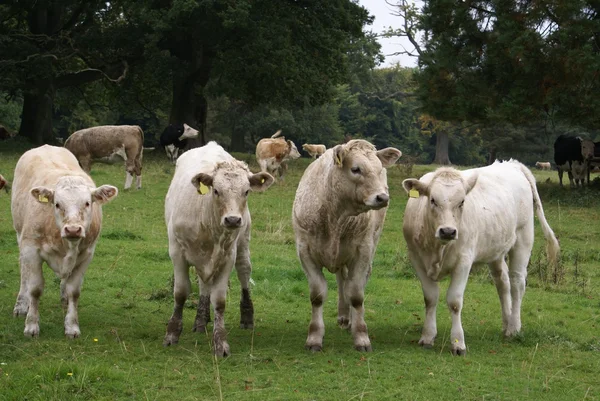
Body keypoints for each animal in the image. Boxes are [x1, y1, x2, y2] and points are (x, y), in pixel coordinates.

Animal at [11, 145, 118, 338]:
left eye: (87, 203)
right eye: (57, 204)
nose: (73, 229)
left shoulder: (86, 255)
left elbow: (74, 291)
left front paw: (72, 326)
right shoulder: (31, 249)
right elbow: (35, 288)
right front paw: (31, 325)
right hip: (19, 234)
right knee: (24, 272)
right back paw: (21, 304)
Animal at [292, 138, 400, 350]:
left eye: (379, 169)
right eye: (356, 169)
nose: (382, 198)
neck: (336, 217)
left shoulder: (362, 251)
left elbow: (356, 294)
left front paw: (361, 336)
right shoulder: (305, 252)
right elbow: (317, 295)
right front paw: (314, 337)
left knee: (350, 284)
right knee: (342, 280)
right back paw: (343, 316)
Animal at [400, 159, 560, 354]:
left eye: (462, 202)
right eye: (432, 200)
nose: (448, 231)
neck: (437, 248)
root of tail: (513, 164)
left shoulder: (464, 261)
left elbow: (454, 301)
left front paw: (458, 343)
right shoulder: (416, 258)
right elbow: (430, 298)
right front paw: (427, 336)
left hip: (523, 239)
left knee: (517, 283)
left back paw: (514, 327)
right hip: (496, 249)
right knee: (502, 282)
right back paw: (506, 323)